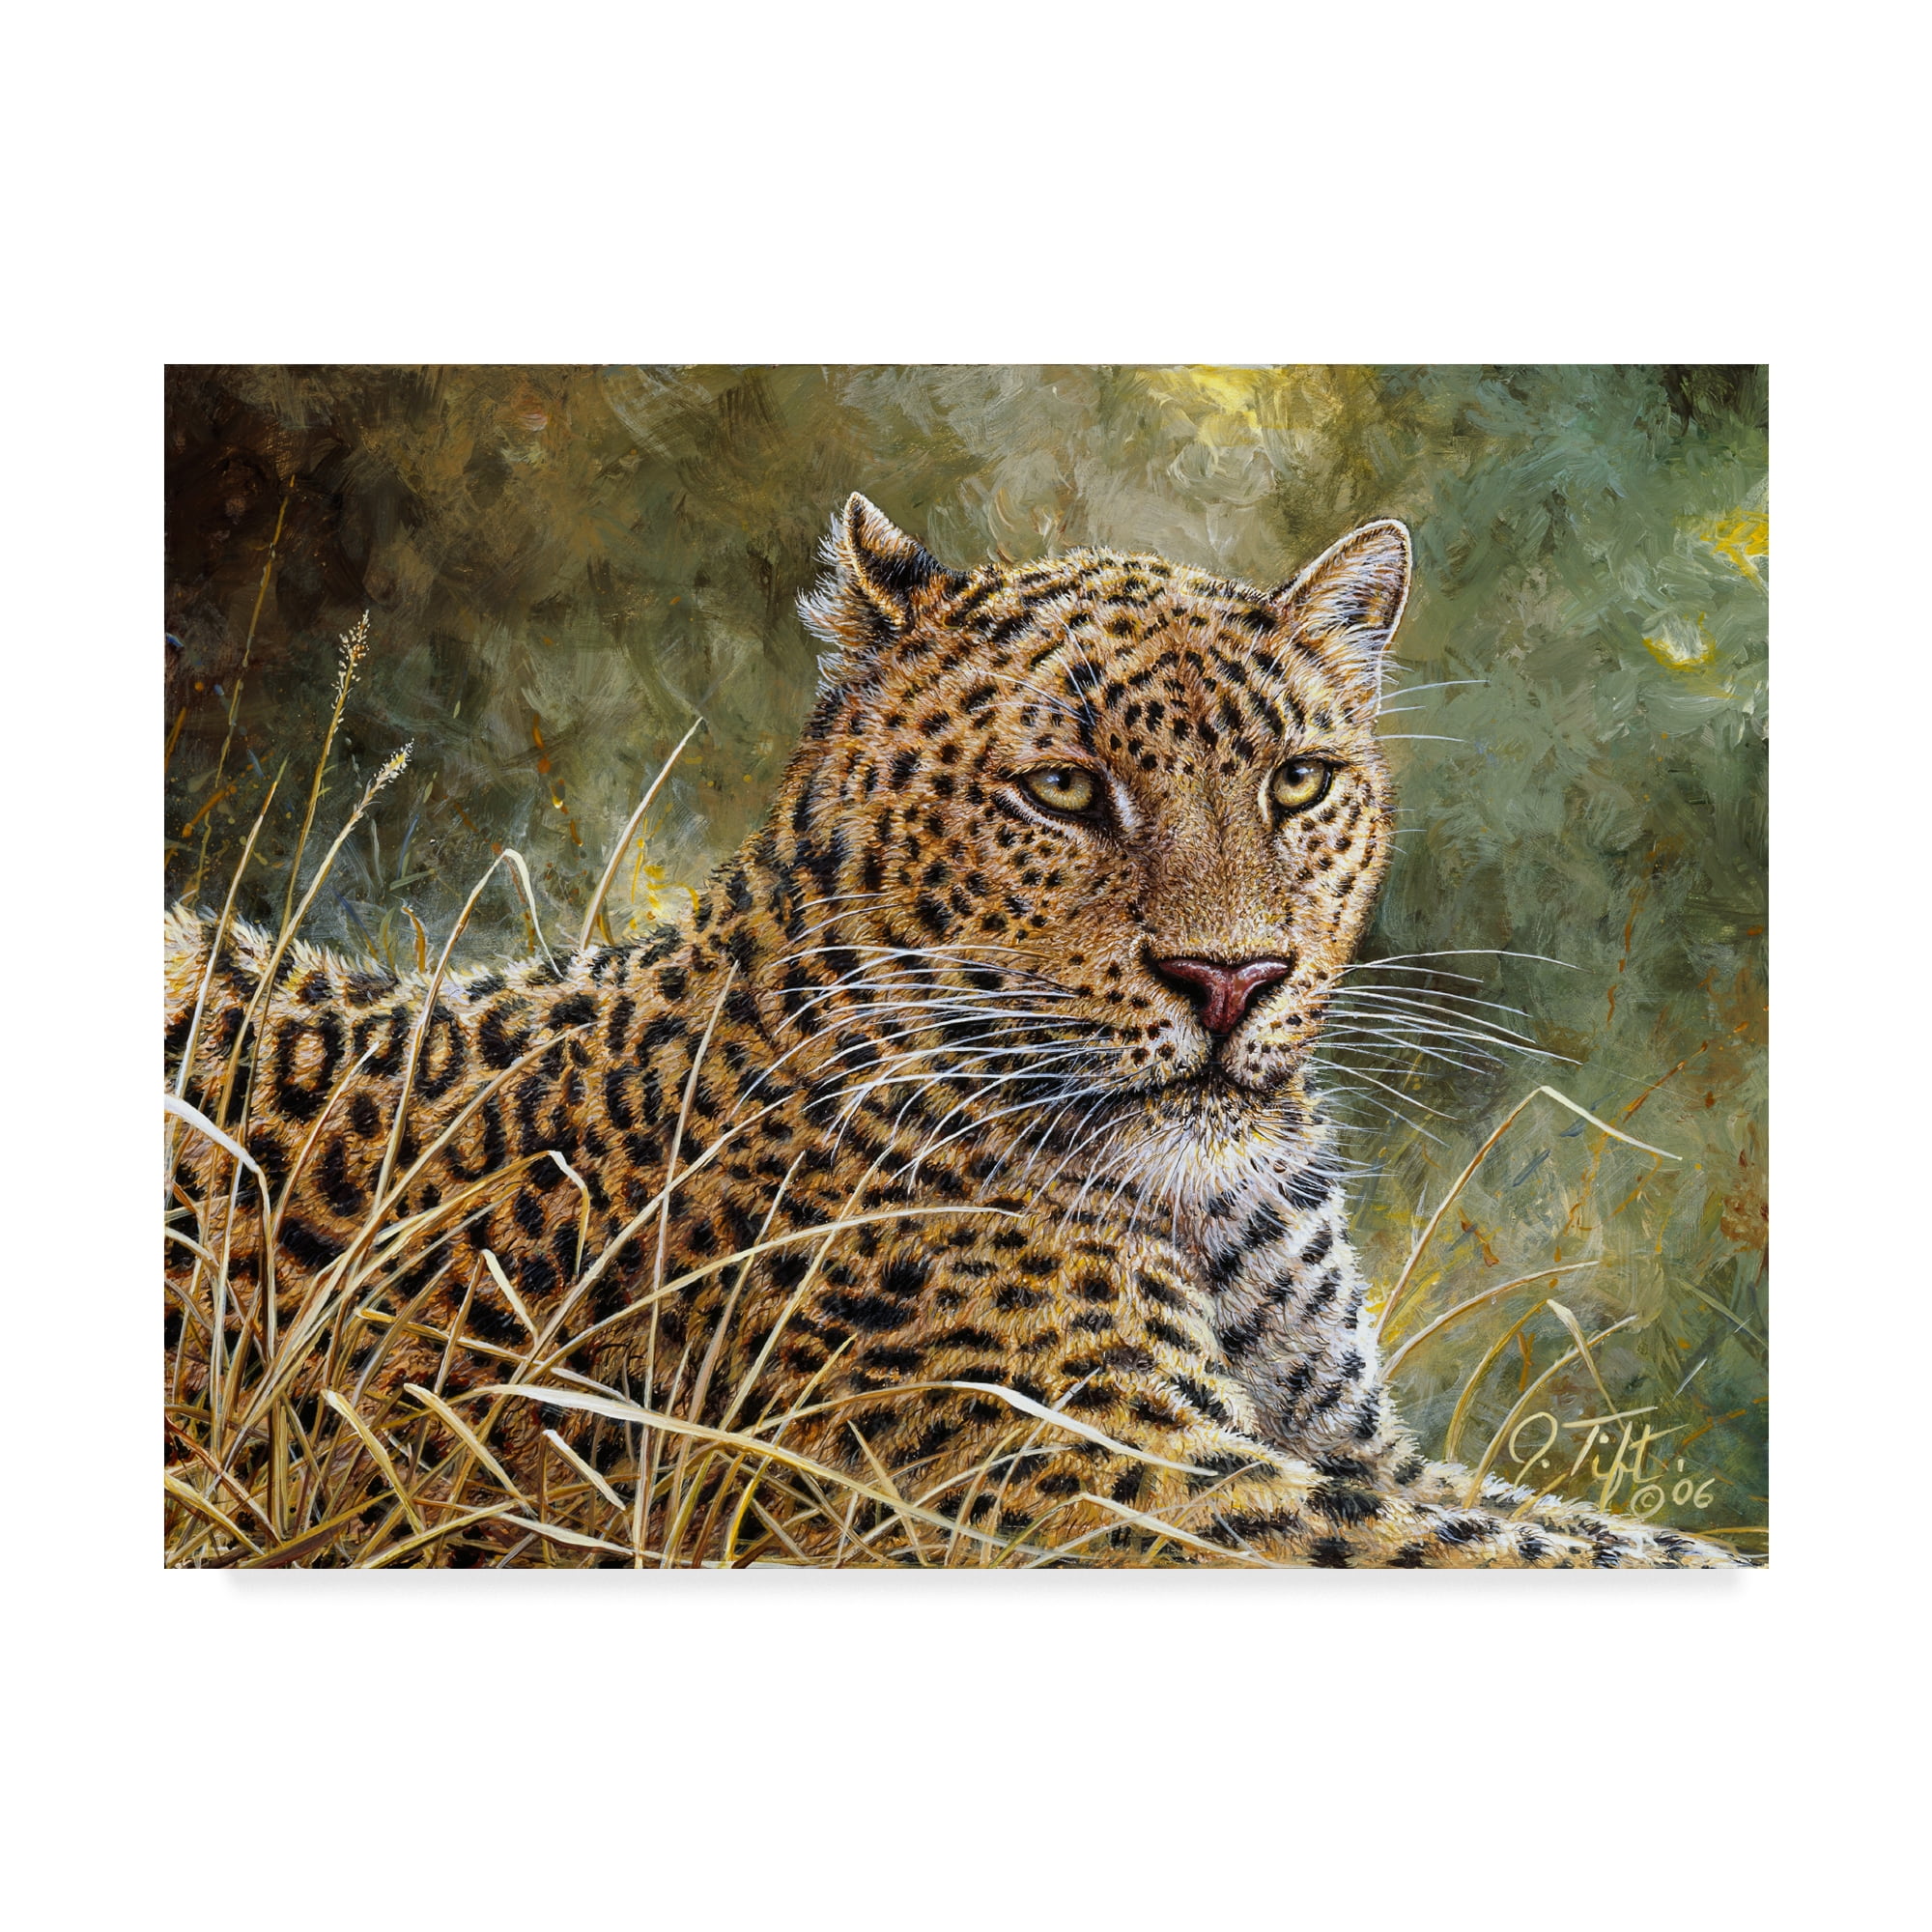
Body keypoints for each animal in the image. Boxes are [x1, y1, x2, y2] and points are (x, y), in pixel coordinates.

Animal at [165, 492, 1750, 1568]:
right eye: (1063, 789)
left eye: (1297, 784)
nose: (1230, 978)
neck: (1210, 1212)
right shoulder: (1128, 1482)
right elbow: (1592, 1553)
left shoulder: (1351, 1449)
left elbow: (1595, 1530)